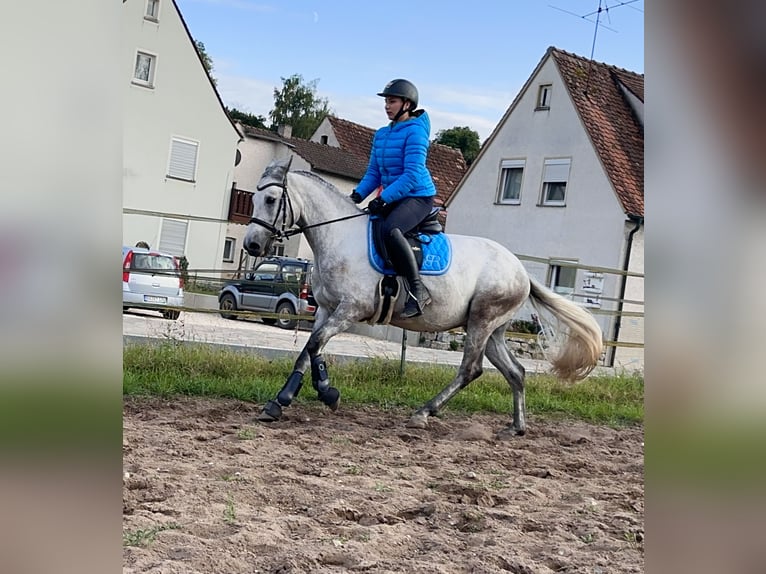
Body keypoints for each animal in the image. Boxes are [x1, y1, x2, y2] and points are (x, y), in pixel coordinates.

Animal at [246, 158, 608, 436]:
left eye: (271, 200)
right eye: (253, 199)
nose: (252, 245)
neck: (338, 237)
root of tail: (519, 268)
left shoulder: (351, 309)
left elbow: (315, 345)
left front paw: (327, 393)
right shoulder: (326, 308)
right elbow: (309, 349)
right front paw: (279, 402)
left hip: (482, 320)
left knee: (470, 370)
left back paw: (423, 412)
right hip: (493, 329)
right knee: (515, 372)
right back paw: (516, 427)